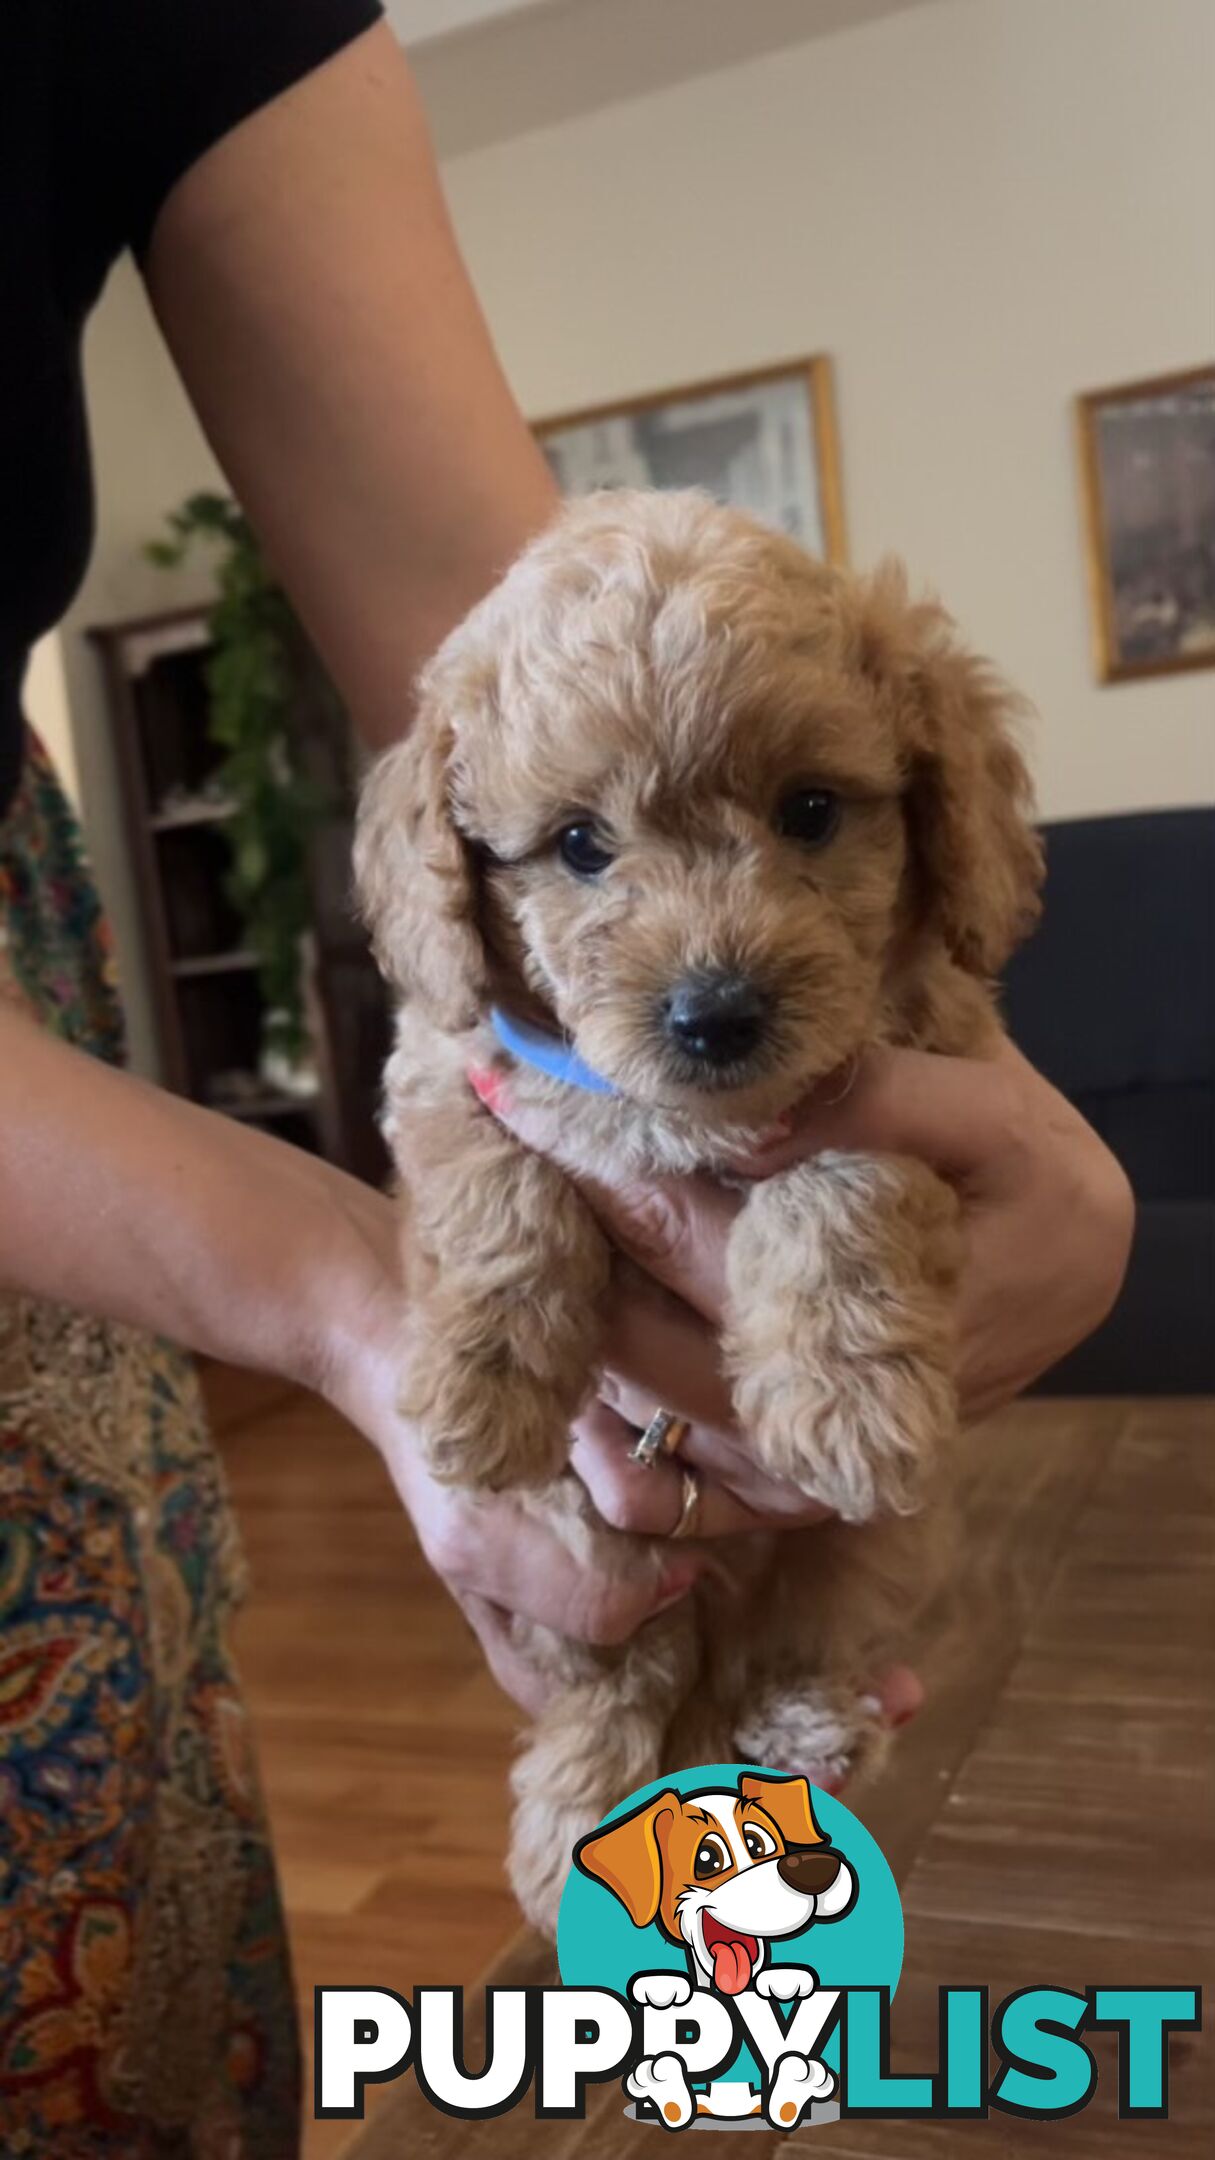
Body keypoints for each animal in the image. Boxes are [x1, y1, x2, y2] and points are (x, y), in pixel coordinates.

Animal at [352, 490, 1042, 1926]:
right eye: (576, 844)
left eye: (811, 811)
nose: (717, 1014)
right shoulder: (448, 1067)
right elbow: (496, 1191)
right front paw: (480, 1387)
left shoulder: (920, 1083)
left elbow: (839, 1184)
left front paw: (844, 1396)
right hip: (593, 1557)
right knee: (622, 1681)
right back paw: (576, 1815)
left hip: (858, 1559)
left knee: (782, 1647)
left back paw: (804, 1733)